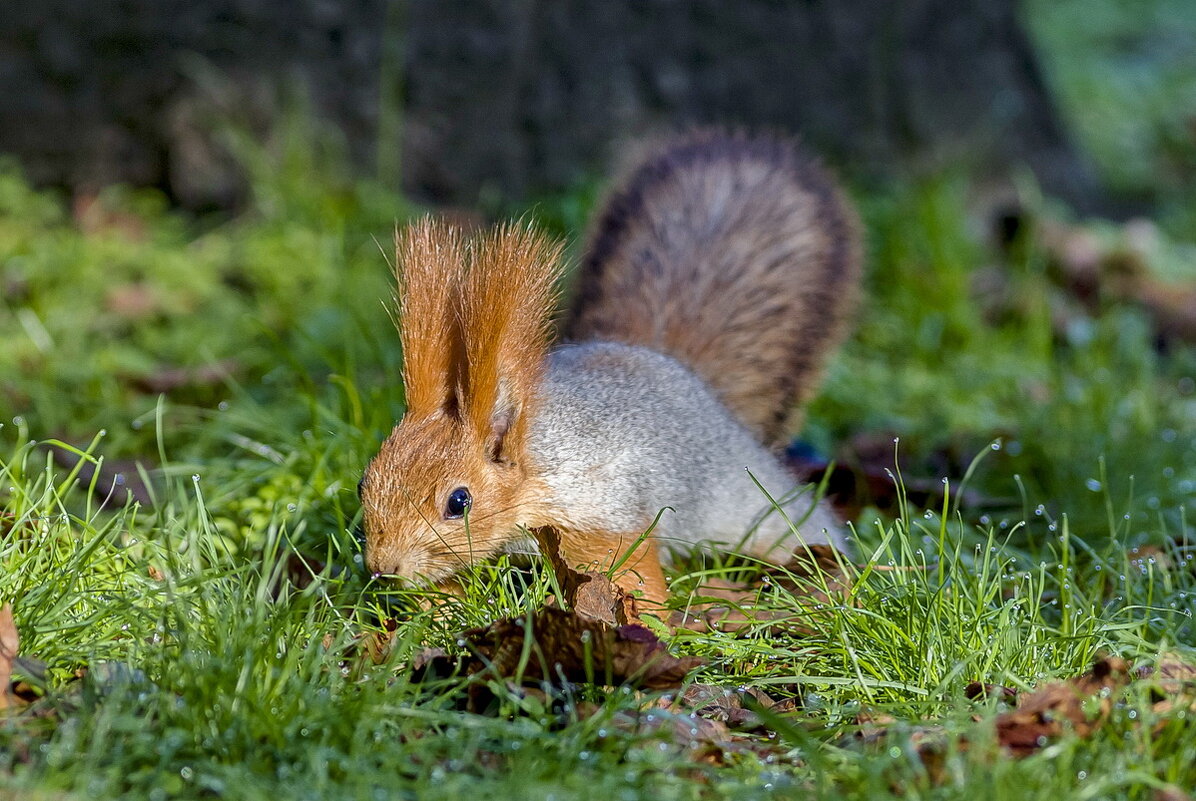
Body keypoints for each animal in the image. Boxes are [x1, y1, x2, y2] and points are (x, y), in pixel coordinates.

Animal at [358, 128, 865, 609]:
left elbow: (630, 570)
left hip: (748, 499)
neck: (537, 466)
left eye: (458, 502)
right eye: (365, 480)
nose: (383, 568)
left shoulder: (605, 509)